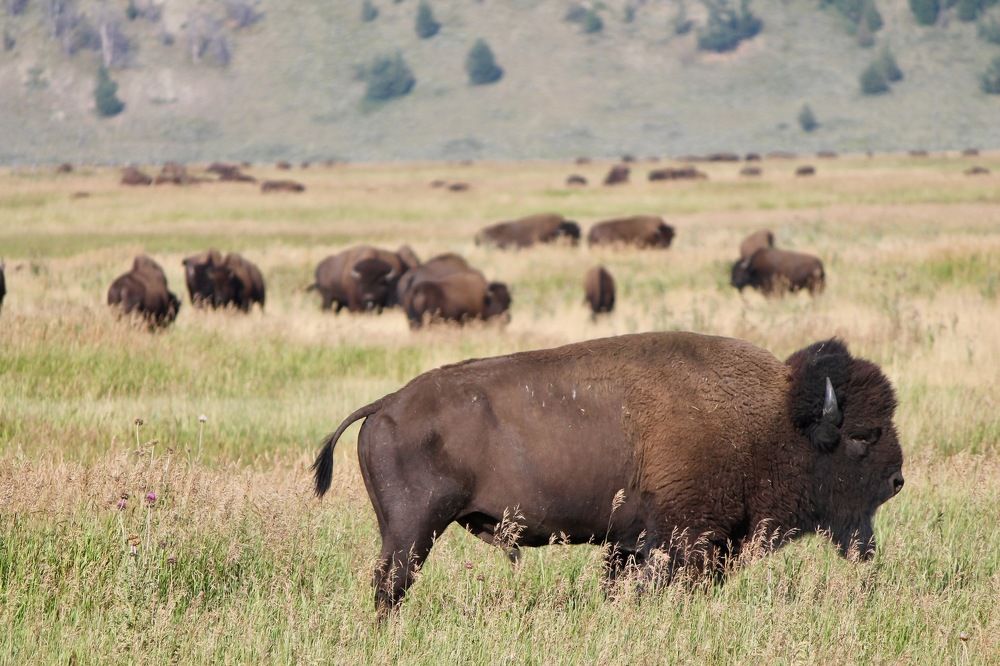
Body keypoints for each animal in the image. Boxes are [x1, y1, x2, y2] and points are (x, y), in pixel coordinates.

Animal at [313, 333, 904, 615]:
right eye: (861, 436)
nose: (898, 480)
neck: (772, 419)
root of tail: (383, 405)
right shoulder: (681, 540)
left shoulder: (631, 543)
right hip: (412, 531)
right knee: (391, 585)